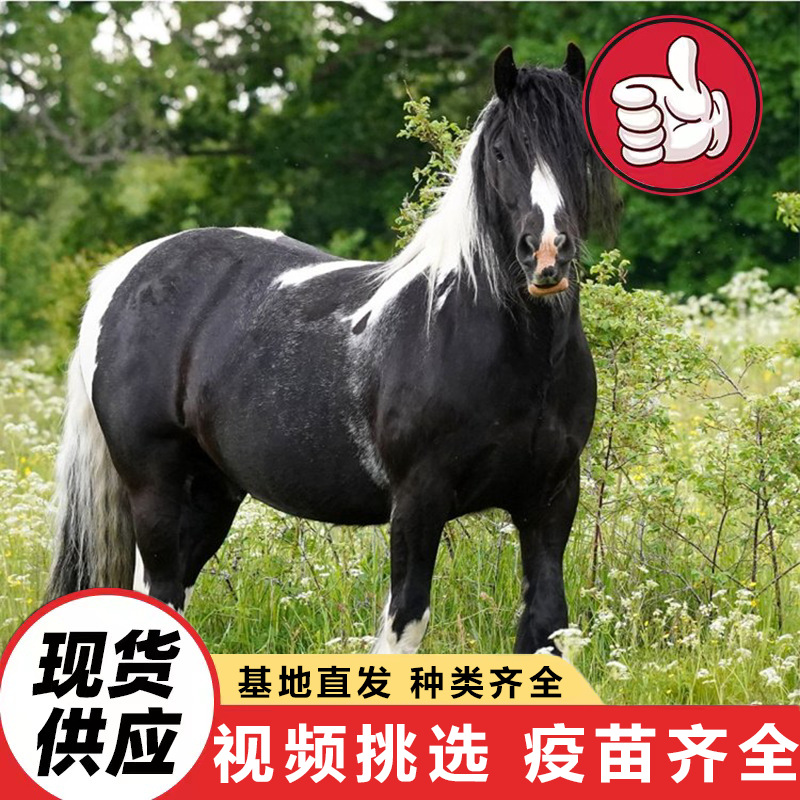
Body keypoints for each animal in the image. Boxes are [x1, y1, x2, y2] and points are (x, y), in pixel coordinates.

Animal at [46, 44, 617, 654]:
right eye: (503, 150)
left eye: (579, 148)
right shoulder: (418, 502)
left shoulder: (550, 500)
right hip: (154, 486)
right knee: (162, 585)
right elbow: (405, 625)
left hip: (212, 493)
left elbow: (546, 624)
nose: (547, 254)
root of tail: (124, 275)